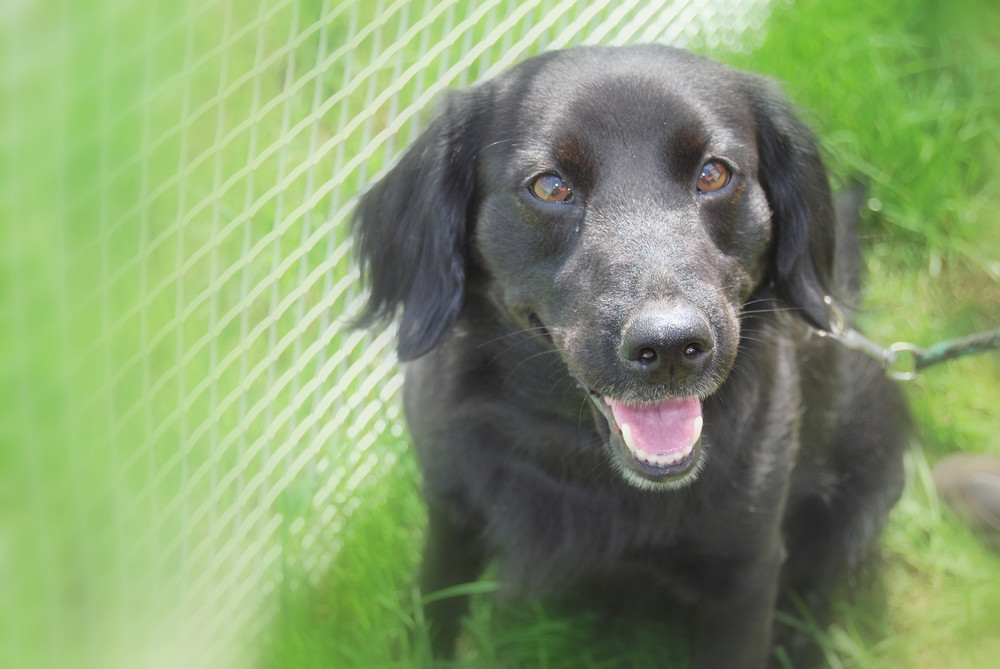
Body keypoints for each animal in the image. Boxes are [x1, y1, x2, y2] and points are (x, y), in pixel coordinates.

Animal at [350, 44, 908, 664]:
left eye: (713, 173)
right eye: (550, 186)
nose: (670, 347)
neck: (578, 457)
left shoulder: (744, 575)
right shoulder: (451, 513)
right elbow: (433, 612)